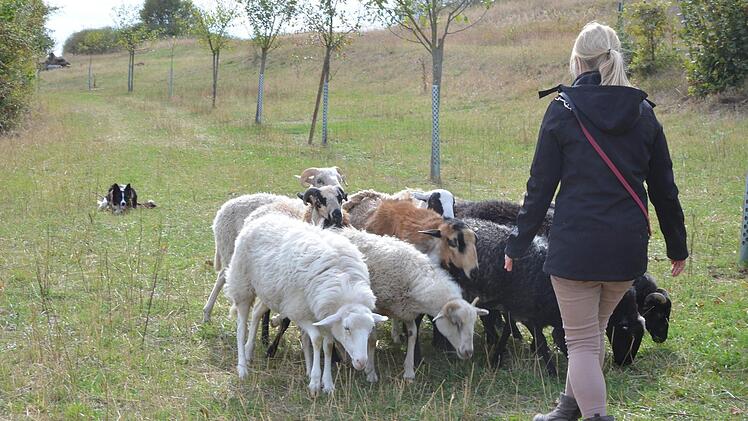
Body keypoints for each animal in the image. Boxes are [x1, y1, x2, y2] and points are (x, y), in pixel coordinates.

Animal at [224, 213, 387, 394]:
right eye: (347, 328)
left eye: (370, 329)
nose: (361, 362)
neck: (345, 287)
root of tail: (263, 218)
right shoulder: (298, 312)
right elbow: (316, 339)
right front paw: (315, 381)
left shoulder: (325, 317)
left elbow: (328, 345)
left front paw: (328, 384)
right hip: (243, 285)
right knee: (241, 328)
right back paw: (242, 367)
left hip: (269, 291)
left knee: (257, 312)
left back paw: (249, 351)